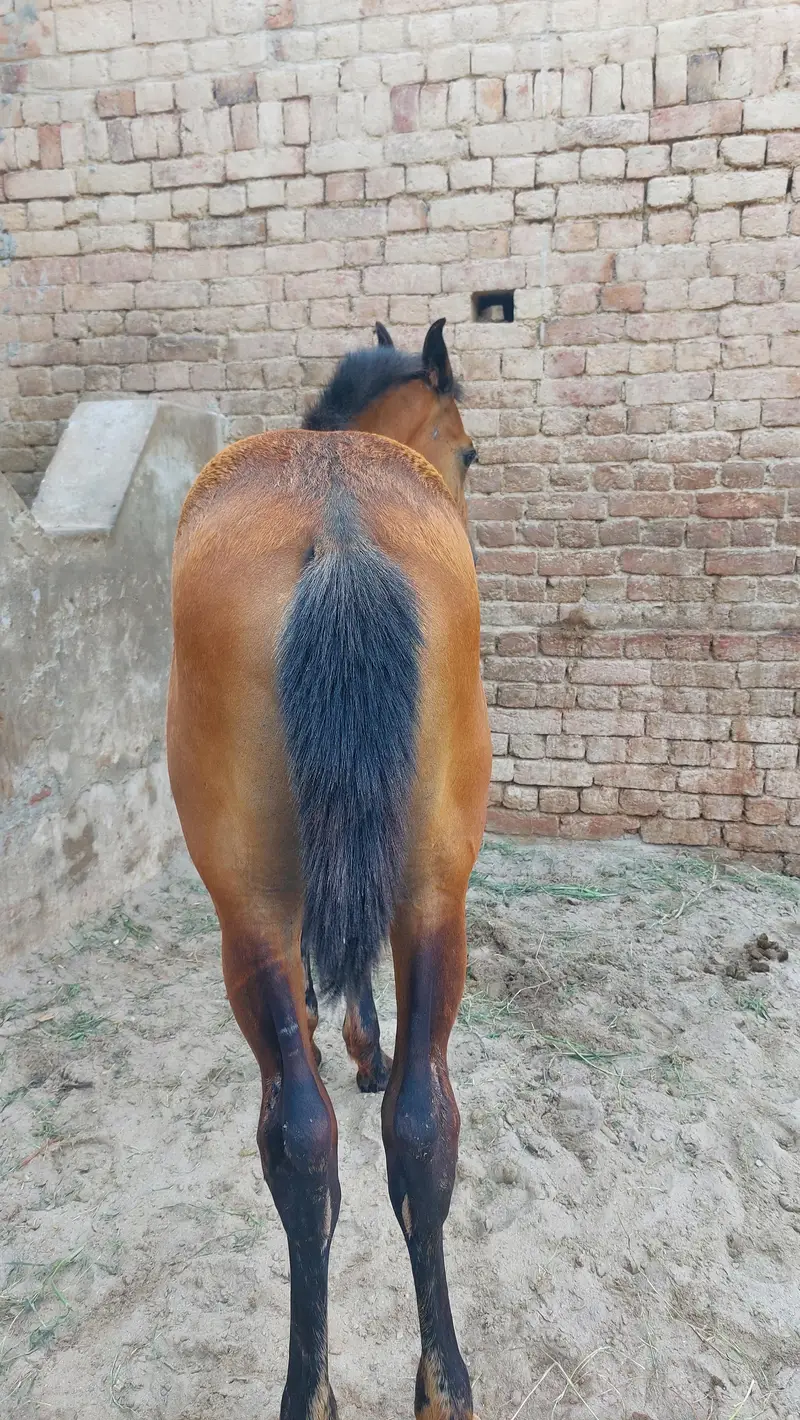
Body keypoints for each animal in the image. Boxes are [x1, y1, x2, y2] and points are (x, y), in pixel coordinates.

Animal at [166, 317, 492, 1420]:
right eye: (467, 451)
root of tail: (340, 525)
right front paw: (361, 1042)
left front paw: (344, 1034)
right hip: (434, 895)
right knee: (422, 1127)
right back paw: (441, 1384)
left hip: (251, 917)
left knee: (301, 1141)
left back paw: (310, 1390)